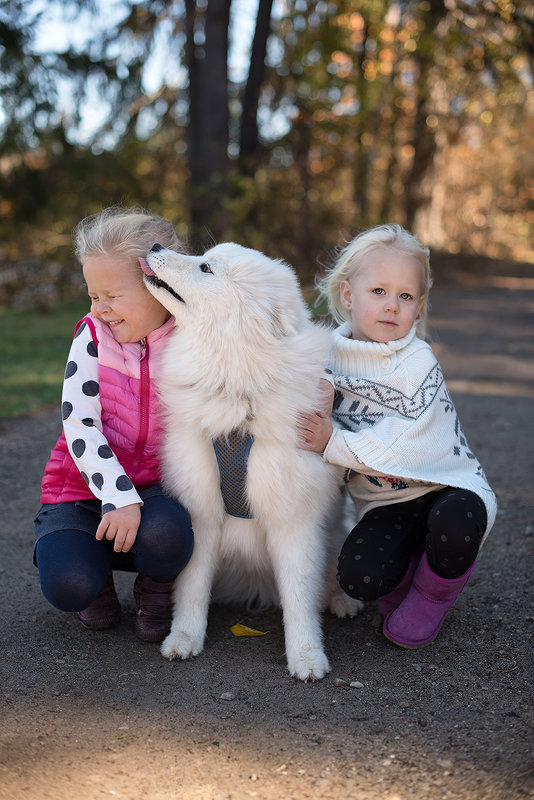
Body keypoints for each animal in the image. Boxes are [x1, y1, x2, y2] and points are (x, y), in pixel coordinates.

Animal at [142, 241, 362, 680]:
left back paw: (343, 601)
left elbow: (299, 599)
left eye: (206, 268)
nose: (155, 246)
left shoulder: (293, 520)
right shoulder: (200, 512)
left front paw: (307, 657)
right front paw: (183, 639)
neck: (238, 392)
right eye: (204, 256)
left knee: (329, 579)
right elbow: (192, 589)